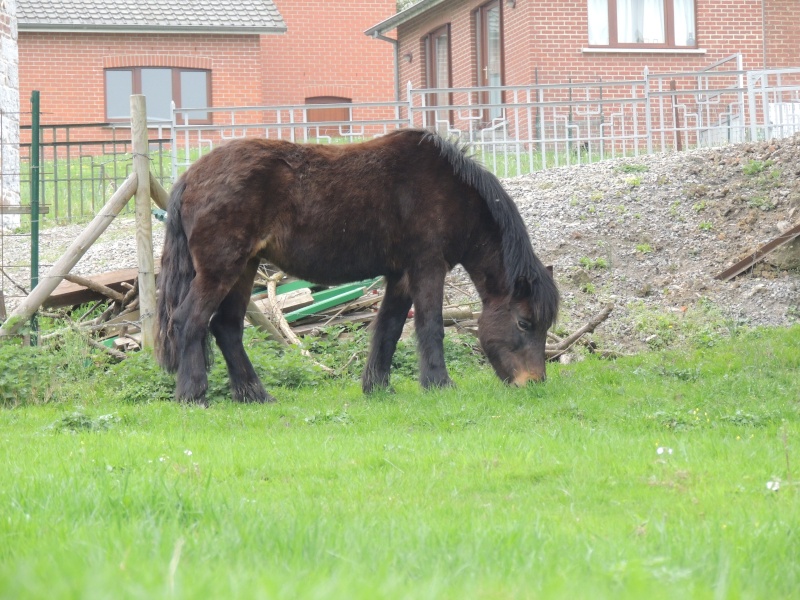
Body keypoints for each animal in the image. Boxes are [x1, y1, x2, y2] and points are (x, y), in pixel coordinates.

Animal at [155, 130, 556, 404]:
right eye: (524, 323)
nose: (534, 382)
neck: (452, 193)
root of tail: (190, 177)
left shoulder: (401, 275)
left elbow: (389, 329)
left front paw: (377, 387)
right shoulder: (427, 267)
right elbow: (430, 327)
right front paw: (439, 384)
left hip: (244, 268)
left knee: (226, 328)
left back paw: (255, 395)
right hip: (221, 269)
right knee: (189, 321)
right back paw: (193, 395)